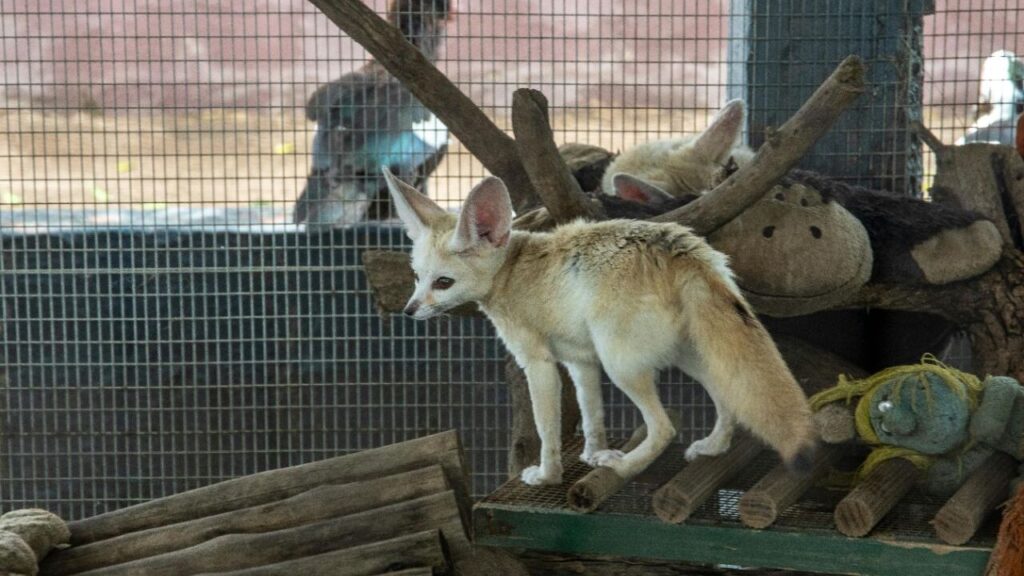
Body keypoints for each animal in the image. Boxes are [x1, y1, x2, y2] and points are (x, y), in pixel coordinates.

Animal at [382, 165, 817, 486]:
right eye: (417, 277)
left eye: (443, 283)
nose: (409, 311)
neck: (511, 270)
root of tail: (682, 249)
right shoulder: (581, 361)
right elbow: (593, 416)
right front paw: (591, 453)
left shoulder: (538, 363)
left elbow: (547, 429)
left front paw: (548, 475)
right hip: (686, 356)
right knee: (727, 399)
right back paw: (712, 446)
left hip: (622, 365)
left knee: (663, 429)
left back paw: (624, 466)